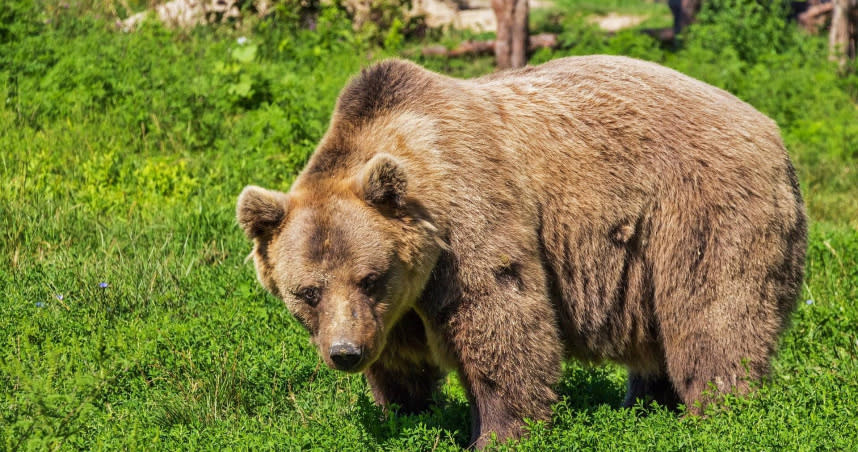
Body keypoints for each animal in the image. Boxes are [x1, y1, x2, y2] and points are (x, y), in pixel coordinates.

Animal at [234, 54, 804, 446]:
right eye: (307, 292)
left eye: (370, 277)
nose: (345, 352)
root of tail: (771, 129)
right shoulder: (395, 309)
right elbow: (401, 363)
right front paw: (406, 414)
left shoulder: (470, 219)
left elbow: (501, 320)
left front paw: (498, 432)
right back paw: (645, 405)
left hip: (699, 211)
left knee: (714, 316)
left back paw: (720, 411)